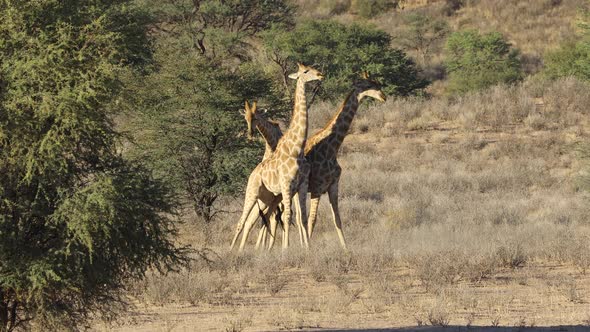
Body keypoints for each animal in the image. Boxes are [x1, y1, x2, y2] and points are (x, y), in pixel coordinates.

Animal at [231, 63, 324, 252]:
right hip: (252, 192)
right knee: (242, 221)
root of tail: (252, 173)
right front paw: (285, 249)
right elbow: (288, 216)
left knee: (260, 219)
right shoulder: (287, 184)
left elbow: (302, 217)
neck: (297, 148)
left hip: (269, 198)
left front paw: (307, 248)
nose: (320, 75)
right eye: (305, 71)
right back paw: (233, 251)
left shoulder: (301, 185)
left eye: (312, 68)